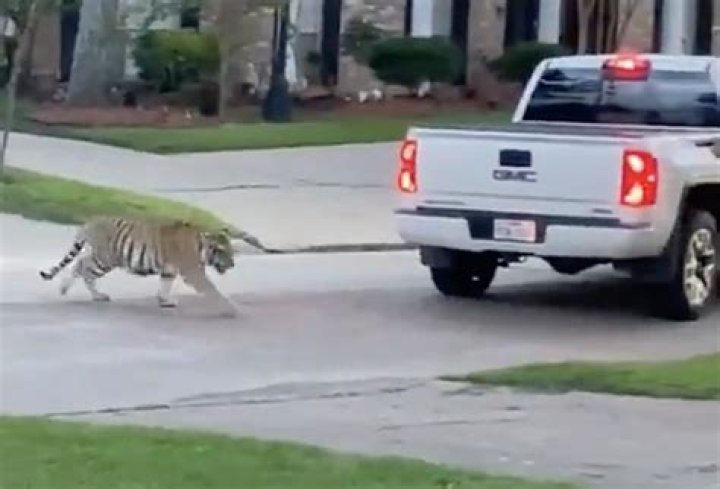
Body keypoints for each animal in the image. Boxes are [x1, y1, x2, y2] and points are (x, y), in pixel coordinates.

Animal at [39, 216, 243, 316]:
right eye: (222, 251)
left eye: (231, 250)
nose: (232, 264)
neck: (201, 246)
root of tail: (89, 223)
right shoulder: (193, 272)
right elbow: (212, 290)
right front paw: (232, 307)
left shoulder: (169, 270)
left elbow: (165, 285)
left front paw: (164, 301)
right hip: (106, 259)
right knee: (84, 267)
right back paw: (93, 294)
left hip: (100, 256)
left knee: (79, 263)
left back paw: (69, 289)